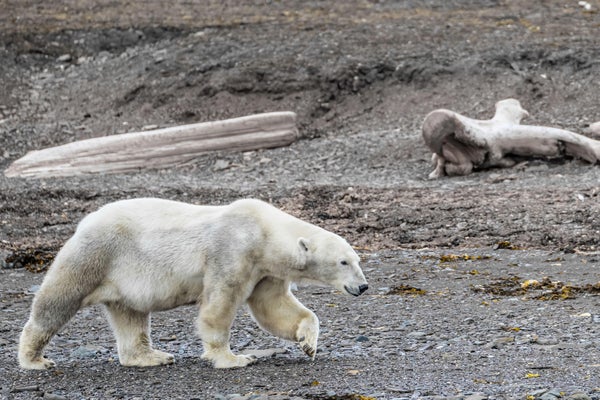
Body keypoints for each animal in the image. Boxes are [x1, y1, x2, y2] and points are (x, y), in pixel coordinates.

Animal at [18, 197, 368, 368]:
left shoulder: (265, 270)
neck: (264, 233)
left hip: (123, 277)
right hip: (96, 255)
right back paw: (35, 359)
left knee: (130, 315)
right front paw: (233, 359)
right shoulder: (232, 252)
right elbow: (219, 306)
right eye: (343, 262)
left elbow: (274, 308)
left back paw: (151, 357)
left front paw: (308, 343)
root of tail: (84, 222)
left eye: (358, 260)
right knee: (59, 299)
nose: (363, 286)